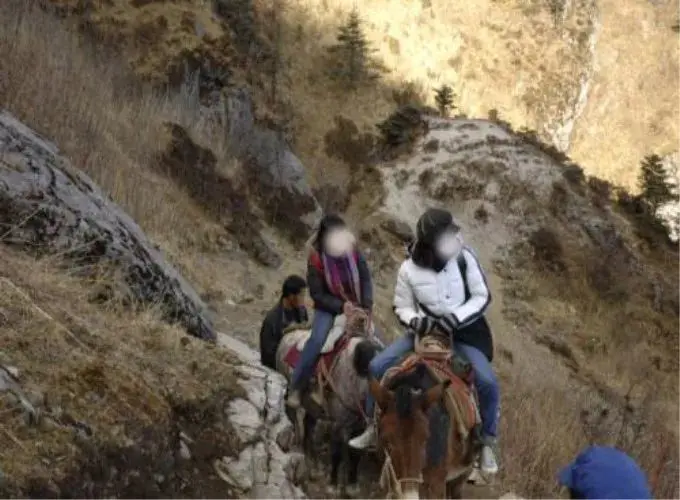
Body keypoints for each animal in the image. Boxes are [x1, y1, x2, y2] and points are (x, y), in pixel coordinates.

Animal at [274, 308, 382, 496]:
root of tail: (287, 336)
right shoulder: (338, 424)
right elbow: (337, 452)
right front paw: (333, 483)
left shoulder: (358, 427)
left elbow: (355, 454)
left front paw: (352, 485)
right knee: (295, 418)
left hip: (313, 406)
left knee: (309, 426)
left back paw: (314, 463)